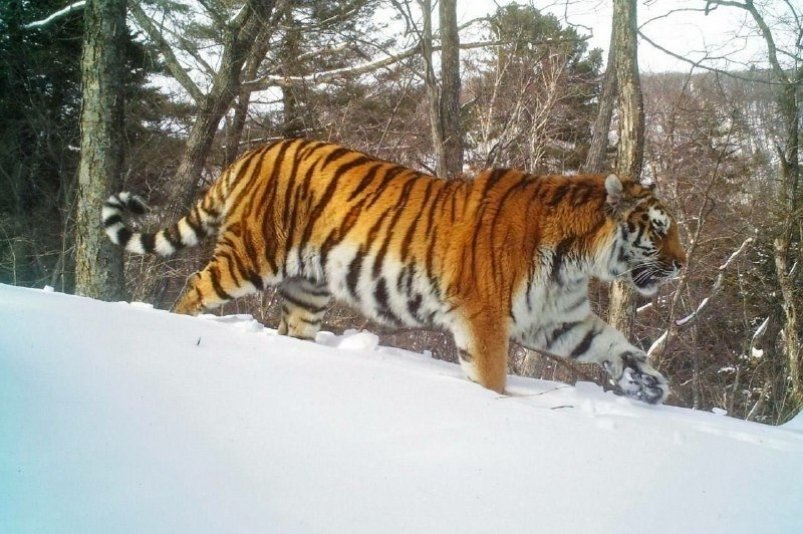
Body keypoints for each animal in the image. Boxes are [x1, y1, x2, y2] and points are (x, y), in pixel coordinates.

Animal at [103, 139, 684, 406]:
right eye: (659, 230)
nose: (682, 264)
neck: (576, 260)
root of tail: (256, 150)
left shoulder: (560, 319)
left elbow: (613, 342)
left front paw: (650, 382)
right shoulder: (484, 316)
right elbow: (492, 379)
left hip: (307, 291)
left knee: (293, 330)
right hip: (249, 255)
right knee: (193, 289)